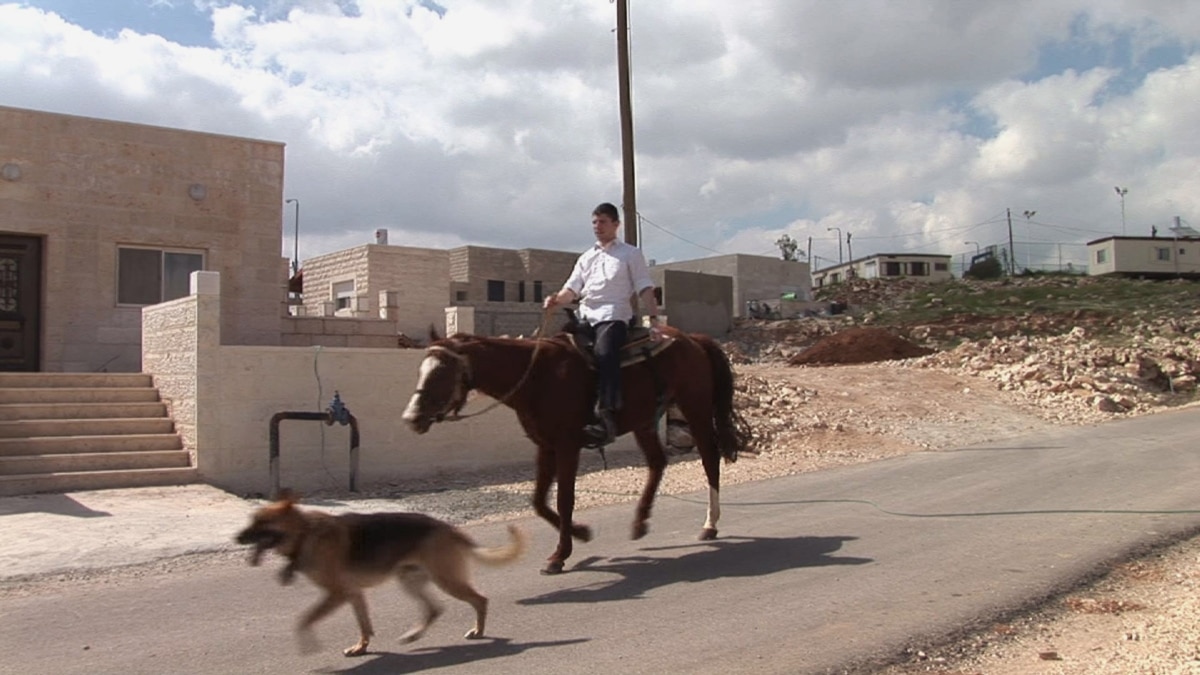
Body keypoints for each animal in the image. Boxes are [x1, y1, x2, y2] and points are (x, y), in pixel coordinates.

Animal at [234, 487, 525, 653]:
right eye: (252, 519)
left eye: (262, 522)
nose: (236, 538)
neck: (304, 534)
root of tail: (448, 528)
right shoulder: (353, 594)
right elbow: (364, 625)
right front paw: (361, 647)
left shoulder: (338, 594)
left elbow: (304, 619)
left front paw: (308, 643)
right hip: (410, 580)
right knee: (434, 609)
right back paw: (414, 635)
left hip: (445, 579)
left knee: (480, 600)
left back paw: (478, 631)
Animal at [400, 324, 748, 569]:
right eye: (421, 369)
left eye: (442, 372)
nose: (411, 418)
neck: (537, 378)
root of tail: (693, 340)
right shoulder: (544, 446)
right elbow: (539, 501)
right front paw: (580, 533)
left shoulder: (568, 445)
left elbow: (565, 498)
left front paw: (559, 555)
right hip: (645, 421)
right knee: (657, 462)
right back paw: (640, 522)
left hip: (695, 407)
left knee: (709, 457)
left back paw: (709, 525)